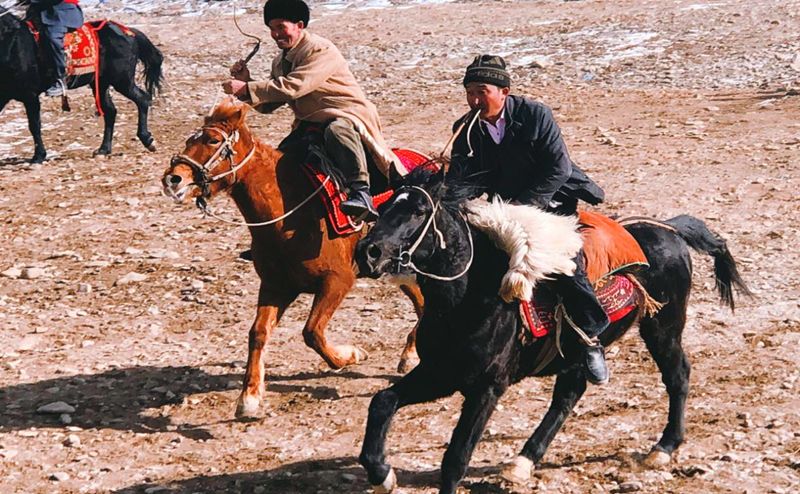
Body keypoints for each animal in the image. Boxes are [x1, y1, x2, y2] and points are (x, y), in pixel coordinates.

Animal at [0, 5, 162, 163]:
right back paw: (103, 149)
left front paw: (38, 156)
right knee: (110, 111)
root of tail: (129, 32)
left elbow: (34, 125)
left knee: (142, 99)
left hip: (122, 81)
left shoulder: (30, 96)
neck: (12, 45)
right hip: (100, 84)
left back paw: (148, 140)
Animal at [162, 98, 424, 418]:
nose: (173, 179)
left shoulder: (338, 281)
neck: (289, 215)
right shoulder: (276, 286)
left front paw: (350, 355)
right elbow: (258, 333)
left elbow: (312, 332)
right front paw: (249, 397)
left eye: (212, 140)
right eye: (190, 140)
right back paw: (409, 353)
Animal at [354, 169, 748, 494]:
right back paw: (523, 461)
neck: (468, 297)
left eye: (419, 211)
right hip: (580, 352)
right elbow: (382, 402)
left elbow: (455, 459)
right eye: (385, 206)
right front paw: (382, 474)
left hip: (663, 327)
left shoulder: (486, 387)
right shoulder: (439, 373)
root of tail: (668, 228)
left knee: (677, 375)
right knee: (569, 394)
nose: (367, 252)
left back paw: (663, 448)